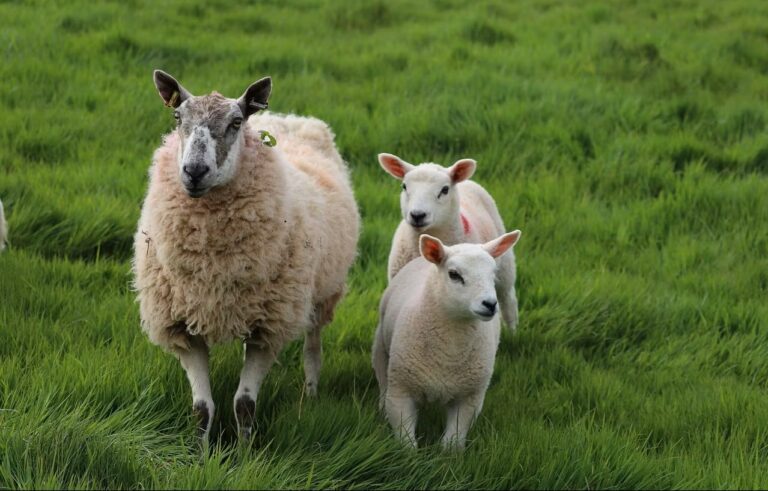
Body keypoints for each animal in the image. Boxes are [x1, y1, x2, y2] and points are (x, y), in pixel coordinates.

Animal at [132, 70, 360, 442]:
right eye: (177, 118)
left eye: (236, 122)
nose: (194, 171)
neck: (213, 266)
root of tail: (287, 117)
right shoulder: (182, 326)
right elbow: (202, 408)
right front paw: (200, 451)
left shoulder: (268, 328)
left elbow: (244, 405)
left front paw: (245, 451)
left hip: (322, 293)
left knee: (313, 348)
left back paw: (310, 396)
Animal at [372, 230, 521, 450]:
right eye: (454, 275)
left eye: (493, 275)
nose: (490, 304)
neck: (449, 351)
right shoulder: (401, 391)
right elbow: (406, 440)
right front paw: (408, 455)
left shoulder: (470, 397)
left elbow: (453, 441)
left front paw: (449, 456)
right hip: (382, 348)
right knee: (382, 379)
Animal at [378, 153, 520, 332]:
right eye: (404, 186)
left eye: (444, 190)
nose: (417, 215)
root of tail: (466, 182)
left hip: (505, 267)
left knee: (508, 300)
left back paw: (512, 332)